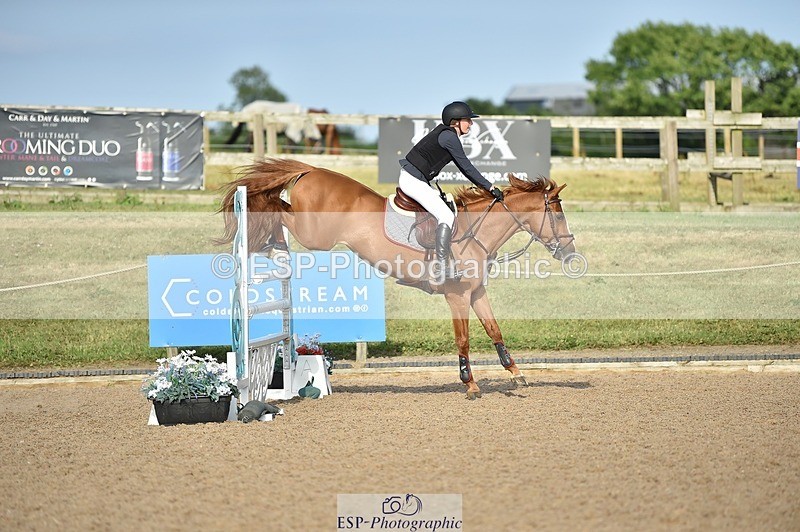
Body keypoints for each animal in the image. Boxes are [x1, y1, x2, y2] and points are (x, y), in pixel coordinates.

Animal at [217, 158, 576, 399]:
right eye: (558, 215)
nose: (570, 252)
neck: (475, 232)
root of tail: (312, 169)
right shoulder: (457, 296)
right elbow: (464, 339)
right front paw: (471, 384)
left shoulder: (476, 293)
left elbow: (494, 329)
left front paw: (516, 373)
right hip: (315, 234)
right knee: (276, 207)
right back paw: (268, 237)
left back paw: (273, 243)